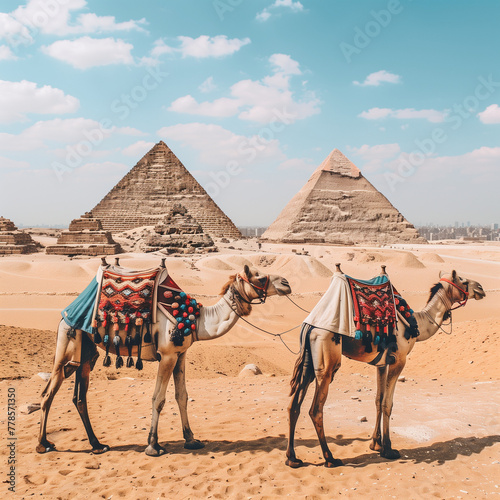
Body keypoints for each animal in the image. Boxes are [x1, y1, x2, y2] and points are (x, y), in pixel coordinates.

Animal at [37, 264, 292, 456]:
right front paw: (153, 445)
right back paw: (43, 444)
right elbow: (158, 399)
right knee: (49, 394)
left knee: (79, 398)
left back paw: (97, 445)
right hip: (66, 344)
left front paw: (191, 439)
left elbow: (182, 396)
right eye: (260, 276)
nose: (286, 283)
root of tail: (68, 311)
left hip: (87, 354)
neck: (197, 319)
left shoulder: (181, 355)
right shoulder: (167, 355)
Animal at [286, 268, 484, 466]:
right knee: (315, 409)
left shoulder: (381, 364)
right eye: (463, 280)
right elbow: (387, 403)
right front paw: (388, 449)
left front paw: (376, 443)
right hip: (327, 362)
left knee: (293, 406)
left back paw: (292, 458)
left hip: (308, 362)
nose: (481, 288)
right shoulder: (399, 360)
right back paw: (330, 458)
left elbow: (378, 401)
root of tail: (310, 325)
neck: (417, 325)